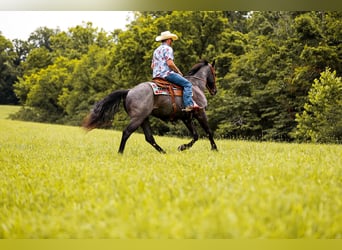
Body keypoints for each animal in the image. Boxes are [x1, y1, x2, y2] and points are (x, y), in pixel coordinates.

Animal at [81, 60, 218, 154]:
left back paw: (163, 152)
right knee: (127, 132)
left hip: (144, 118)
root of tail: (129, 91)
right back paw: (120, 152)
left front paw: (182, 147)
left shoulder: (186, 118)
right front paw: (214, 148)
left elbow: (195, 135)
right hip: (138, 119)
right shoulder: (200, 112)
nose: (215, 91)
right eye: (214, 73)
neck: (195, 85)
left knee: (149, 137)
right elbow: (208, 131)